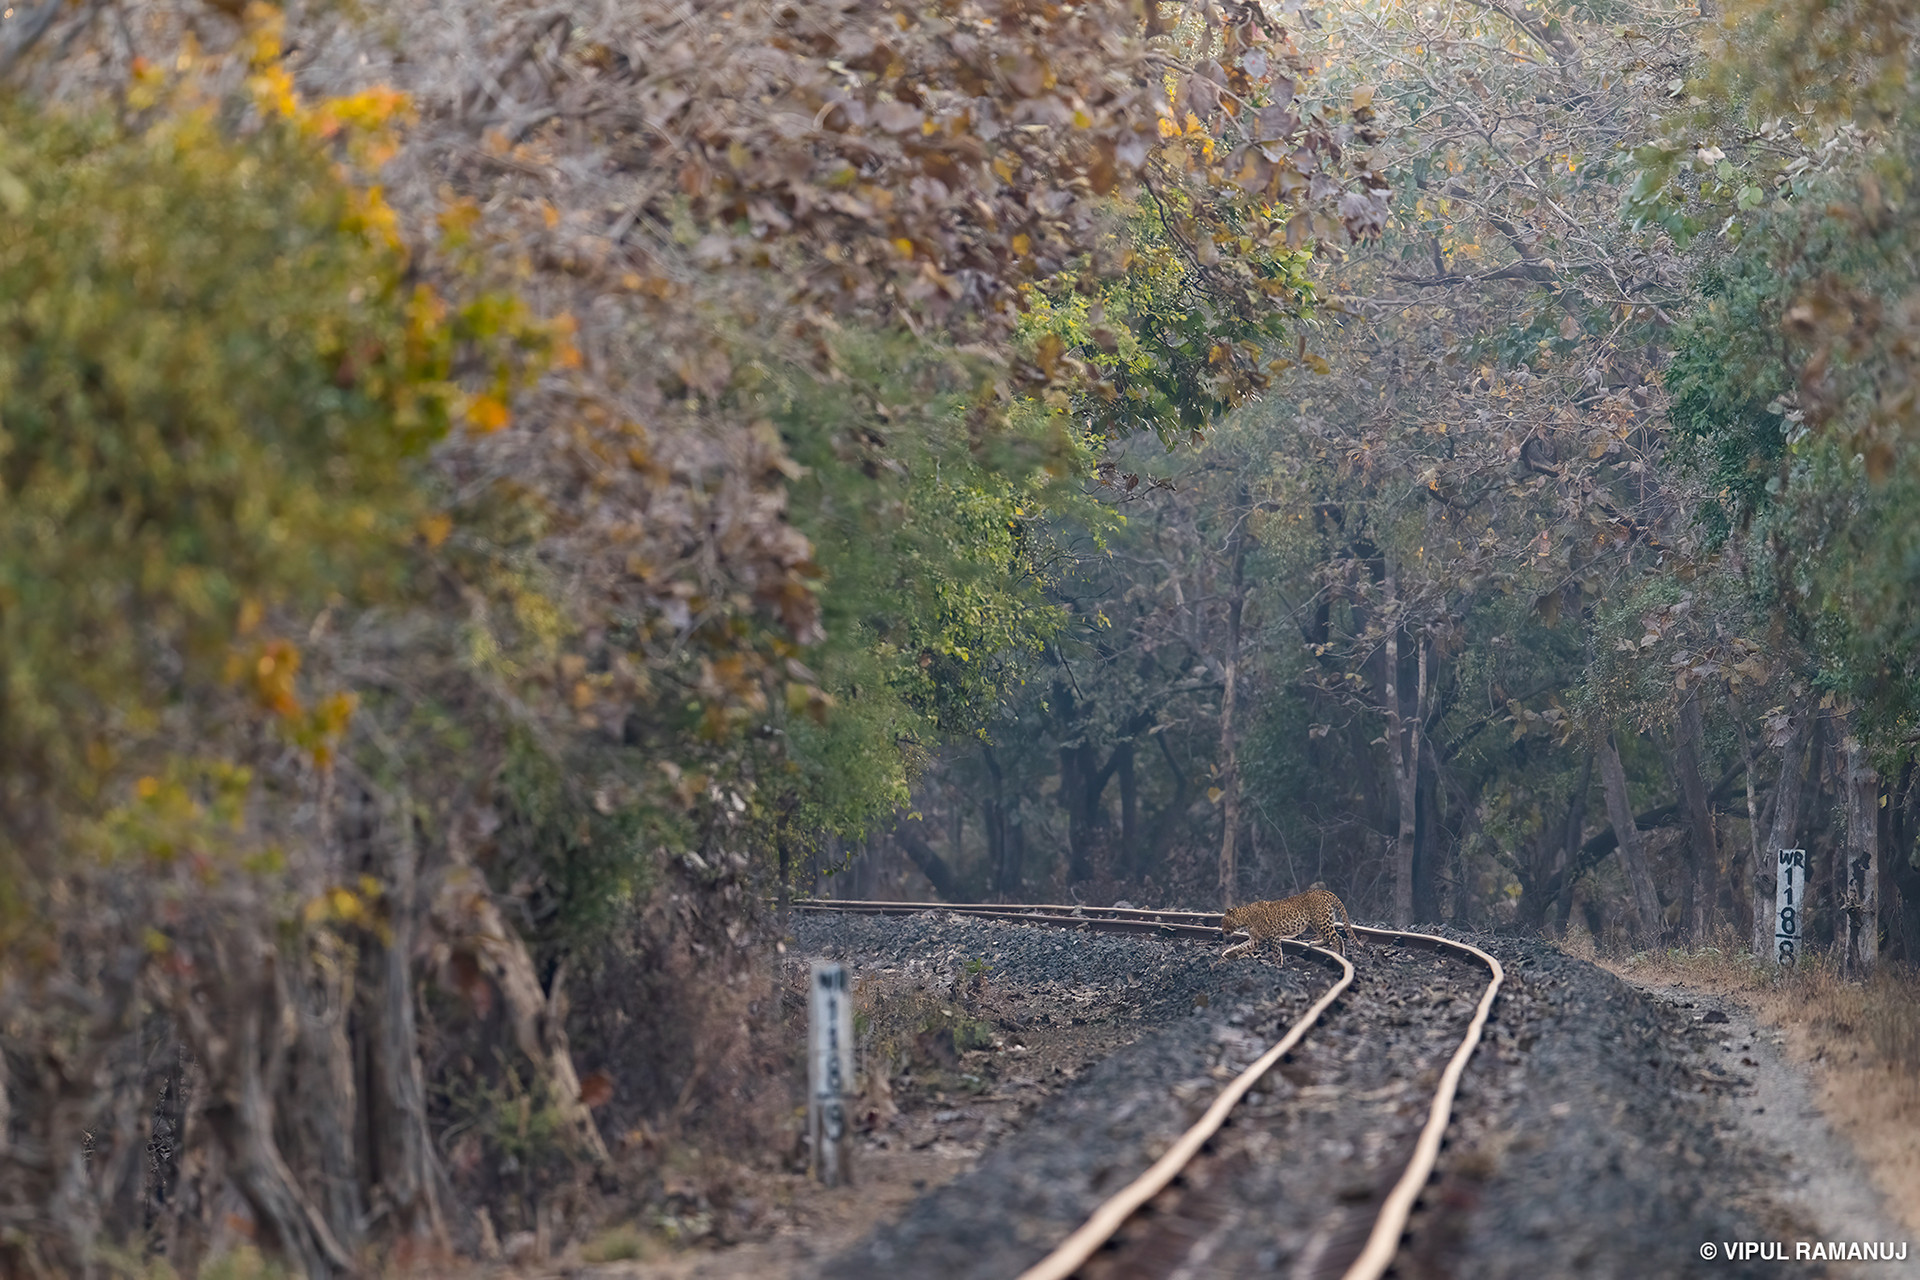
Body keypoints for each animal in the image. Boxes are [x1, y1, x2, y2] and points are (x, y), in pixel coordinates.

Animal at [1219, 887, 1362, 964]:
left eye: (1223, 921)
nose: (1223, 930)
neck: (1245, 918)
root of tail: (1324, 891)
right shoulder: (1256, 939)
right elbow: (1242, 946)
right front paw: (1228, 954)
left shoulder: (1272, 936)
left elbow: (1277, 952)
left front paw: (1277, 966)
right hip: (1318, 922)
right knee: (1330, 937)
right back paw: (1315, 944)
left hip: (1321, 921)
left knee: (1336, 937)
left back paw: (1338, 953)